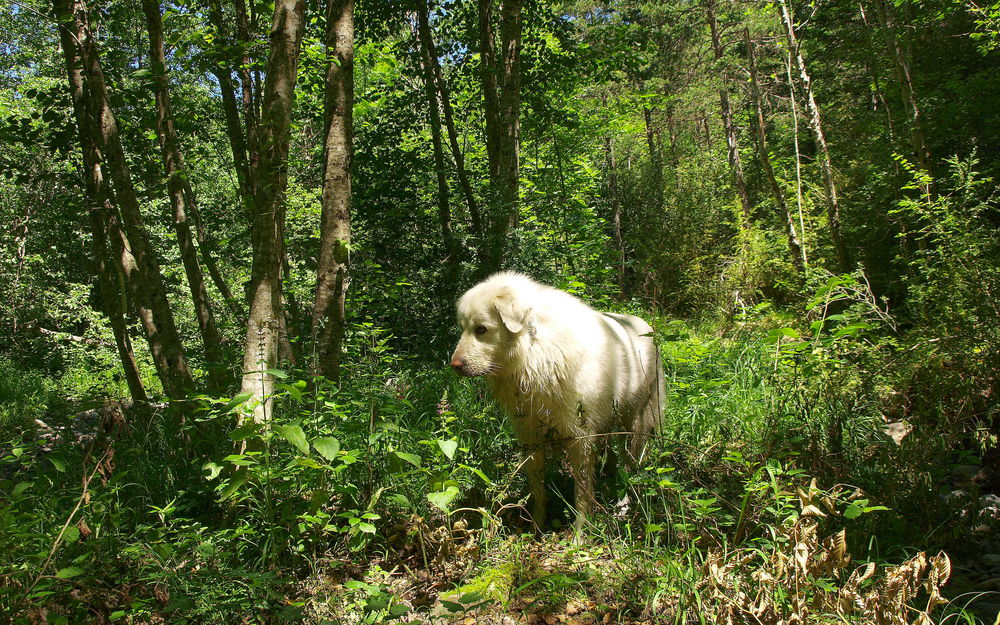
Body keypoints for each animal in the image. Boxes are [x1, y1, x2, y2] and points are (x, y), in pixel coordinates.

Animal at [452, 270, 664, 532]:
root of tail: (644, 324)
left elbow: (581, 495)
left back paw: (622, 506)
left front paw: (581, 534)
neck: (536, 352)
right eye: (463, 328)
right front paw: (536, 529)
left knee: (630, 469)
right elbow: (538, 491)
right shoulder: (531, 438)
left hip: (635, 426)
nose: (454, 365)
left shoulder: (580, 439)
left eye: (481, 329)